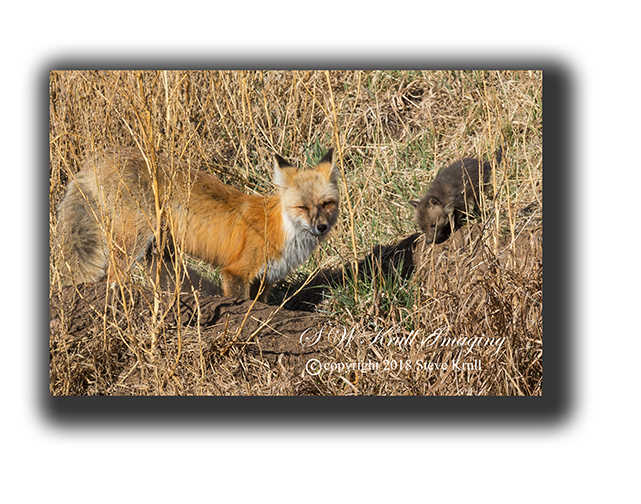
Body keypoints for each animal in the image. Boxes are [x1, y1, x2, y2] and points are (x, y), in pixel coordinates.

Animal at [56, 146, 340, 301]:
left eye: (327, 203)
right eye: (302, 207)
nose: (321, 228)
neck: (285, 230)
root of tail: (99, 158)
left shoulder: (264, 280)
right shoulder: (236, 273)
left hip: (158, 248)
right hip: (135, 240)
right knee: (113, 277)